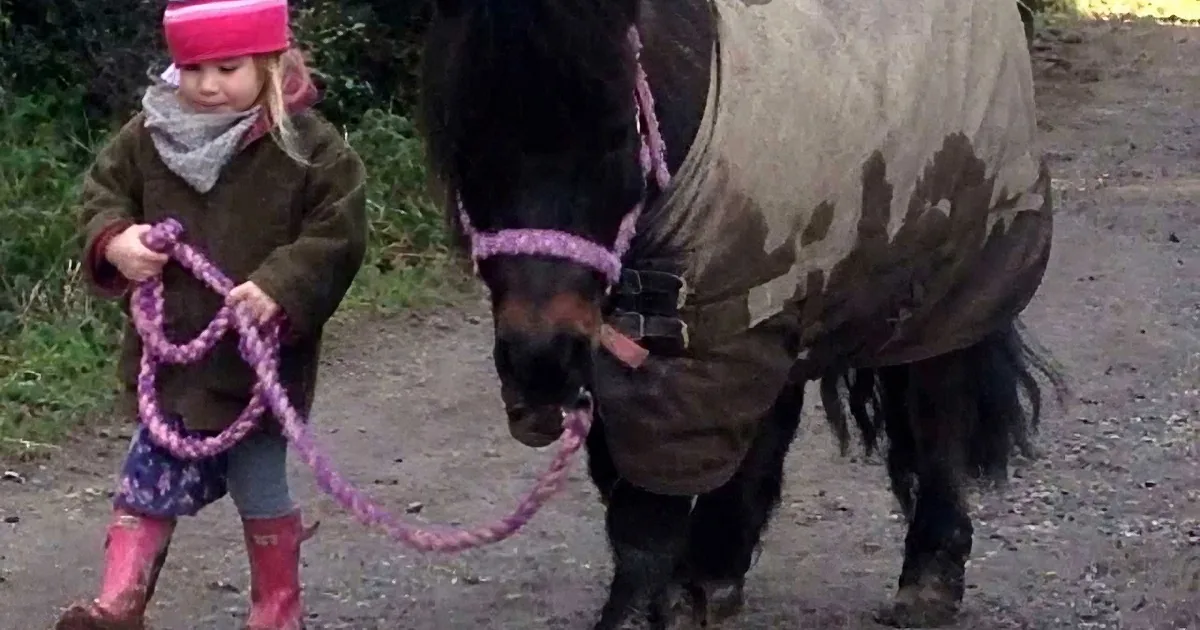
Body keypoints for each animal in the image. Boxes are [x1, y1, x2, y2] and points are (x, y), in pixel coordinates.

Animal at [416, 0, 1066, 627]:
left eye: (615, 137)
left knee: (936, 410)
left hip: (949, 286)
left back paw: (928, 579)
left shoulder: (688, 350)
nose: (540, 363)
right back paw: (716, 573)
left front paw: (643, 611)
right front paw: (678, 595)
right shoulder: (649, 348)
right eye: (462, 142)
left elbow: (646, 514)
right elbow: (630, 487)